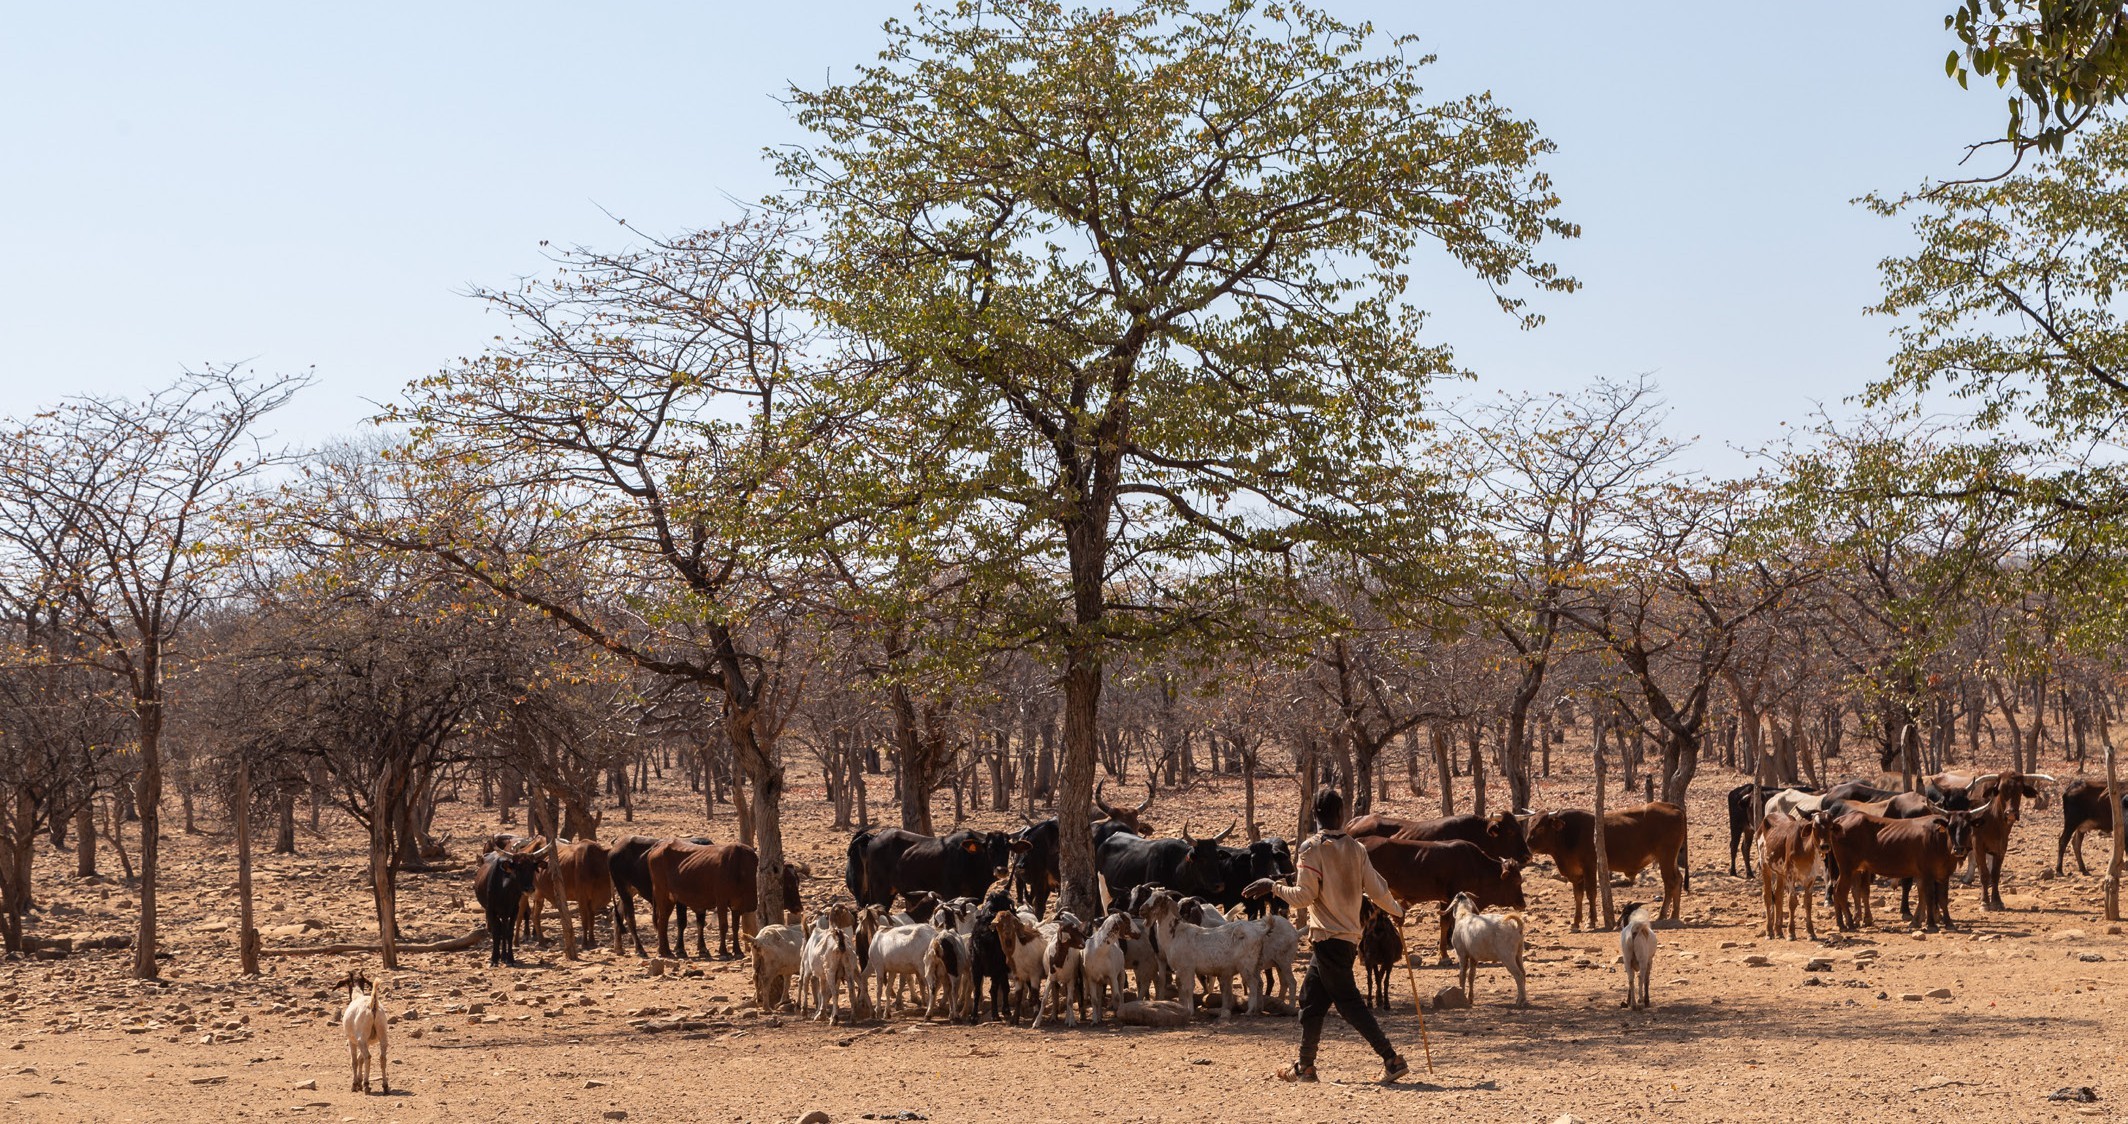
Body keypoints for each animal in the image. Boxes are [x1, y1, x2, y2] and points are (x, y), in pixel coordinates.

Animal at [645, 841, 802, 960]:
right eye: (788, 884)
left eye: (797, 882)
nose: (799, 908)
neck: (742, 870)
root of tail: (657, 848)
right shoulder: (721, 902)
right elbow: (723, 926)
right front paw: (724, 952)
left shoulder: (737, 905)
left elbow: (735, 927)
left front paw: (737, 951)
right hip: (663, 896)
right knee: (662, 921)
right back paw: (665, 951)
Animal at [846, 828, 1026, 910]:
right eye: (990, 847)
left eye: (1008, 848)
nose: (1001, 870)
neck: (970, 858)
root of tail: (873, 837)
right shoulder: (950, 895)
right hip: (880, 892)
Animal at [1523, 802, 1688, 929]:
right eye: (1530, 824)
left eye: (1540, 827)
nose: (1527, 846)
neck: (1569, 833)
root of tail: (1673, 807)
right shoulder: (1576, 873)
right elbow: (1578, 896)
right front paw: (1576, 922)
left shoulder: (1590, 866)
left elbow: (1590, 892)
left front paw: (1591, 921)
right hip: (1670, 859)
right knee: (1678, 879)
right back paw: (1674, 915)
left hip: (1666, 857)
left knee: (1670, 882)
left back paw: (1663, 915)